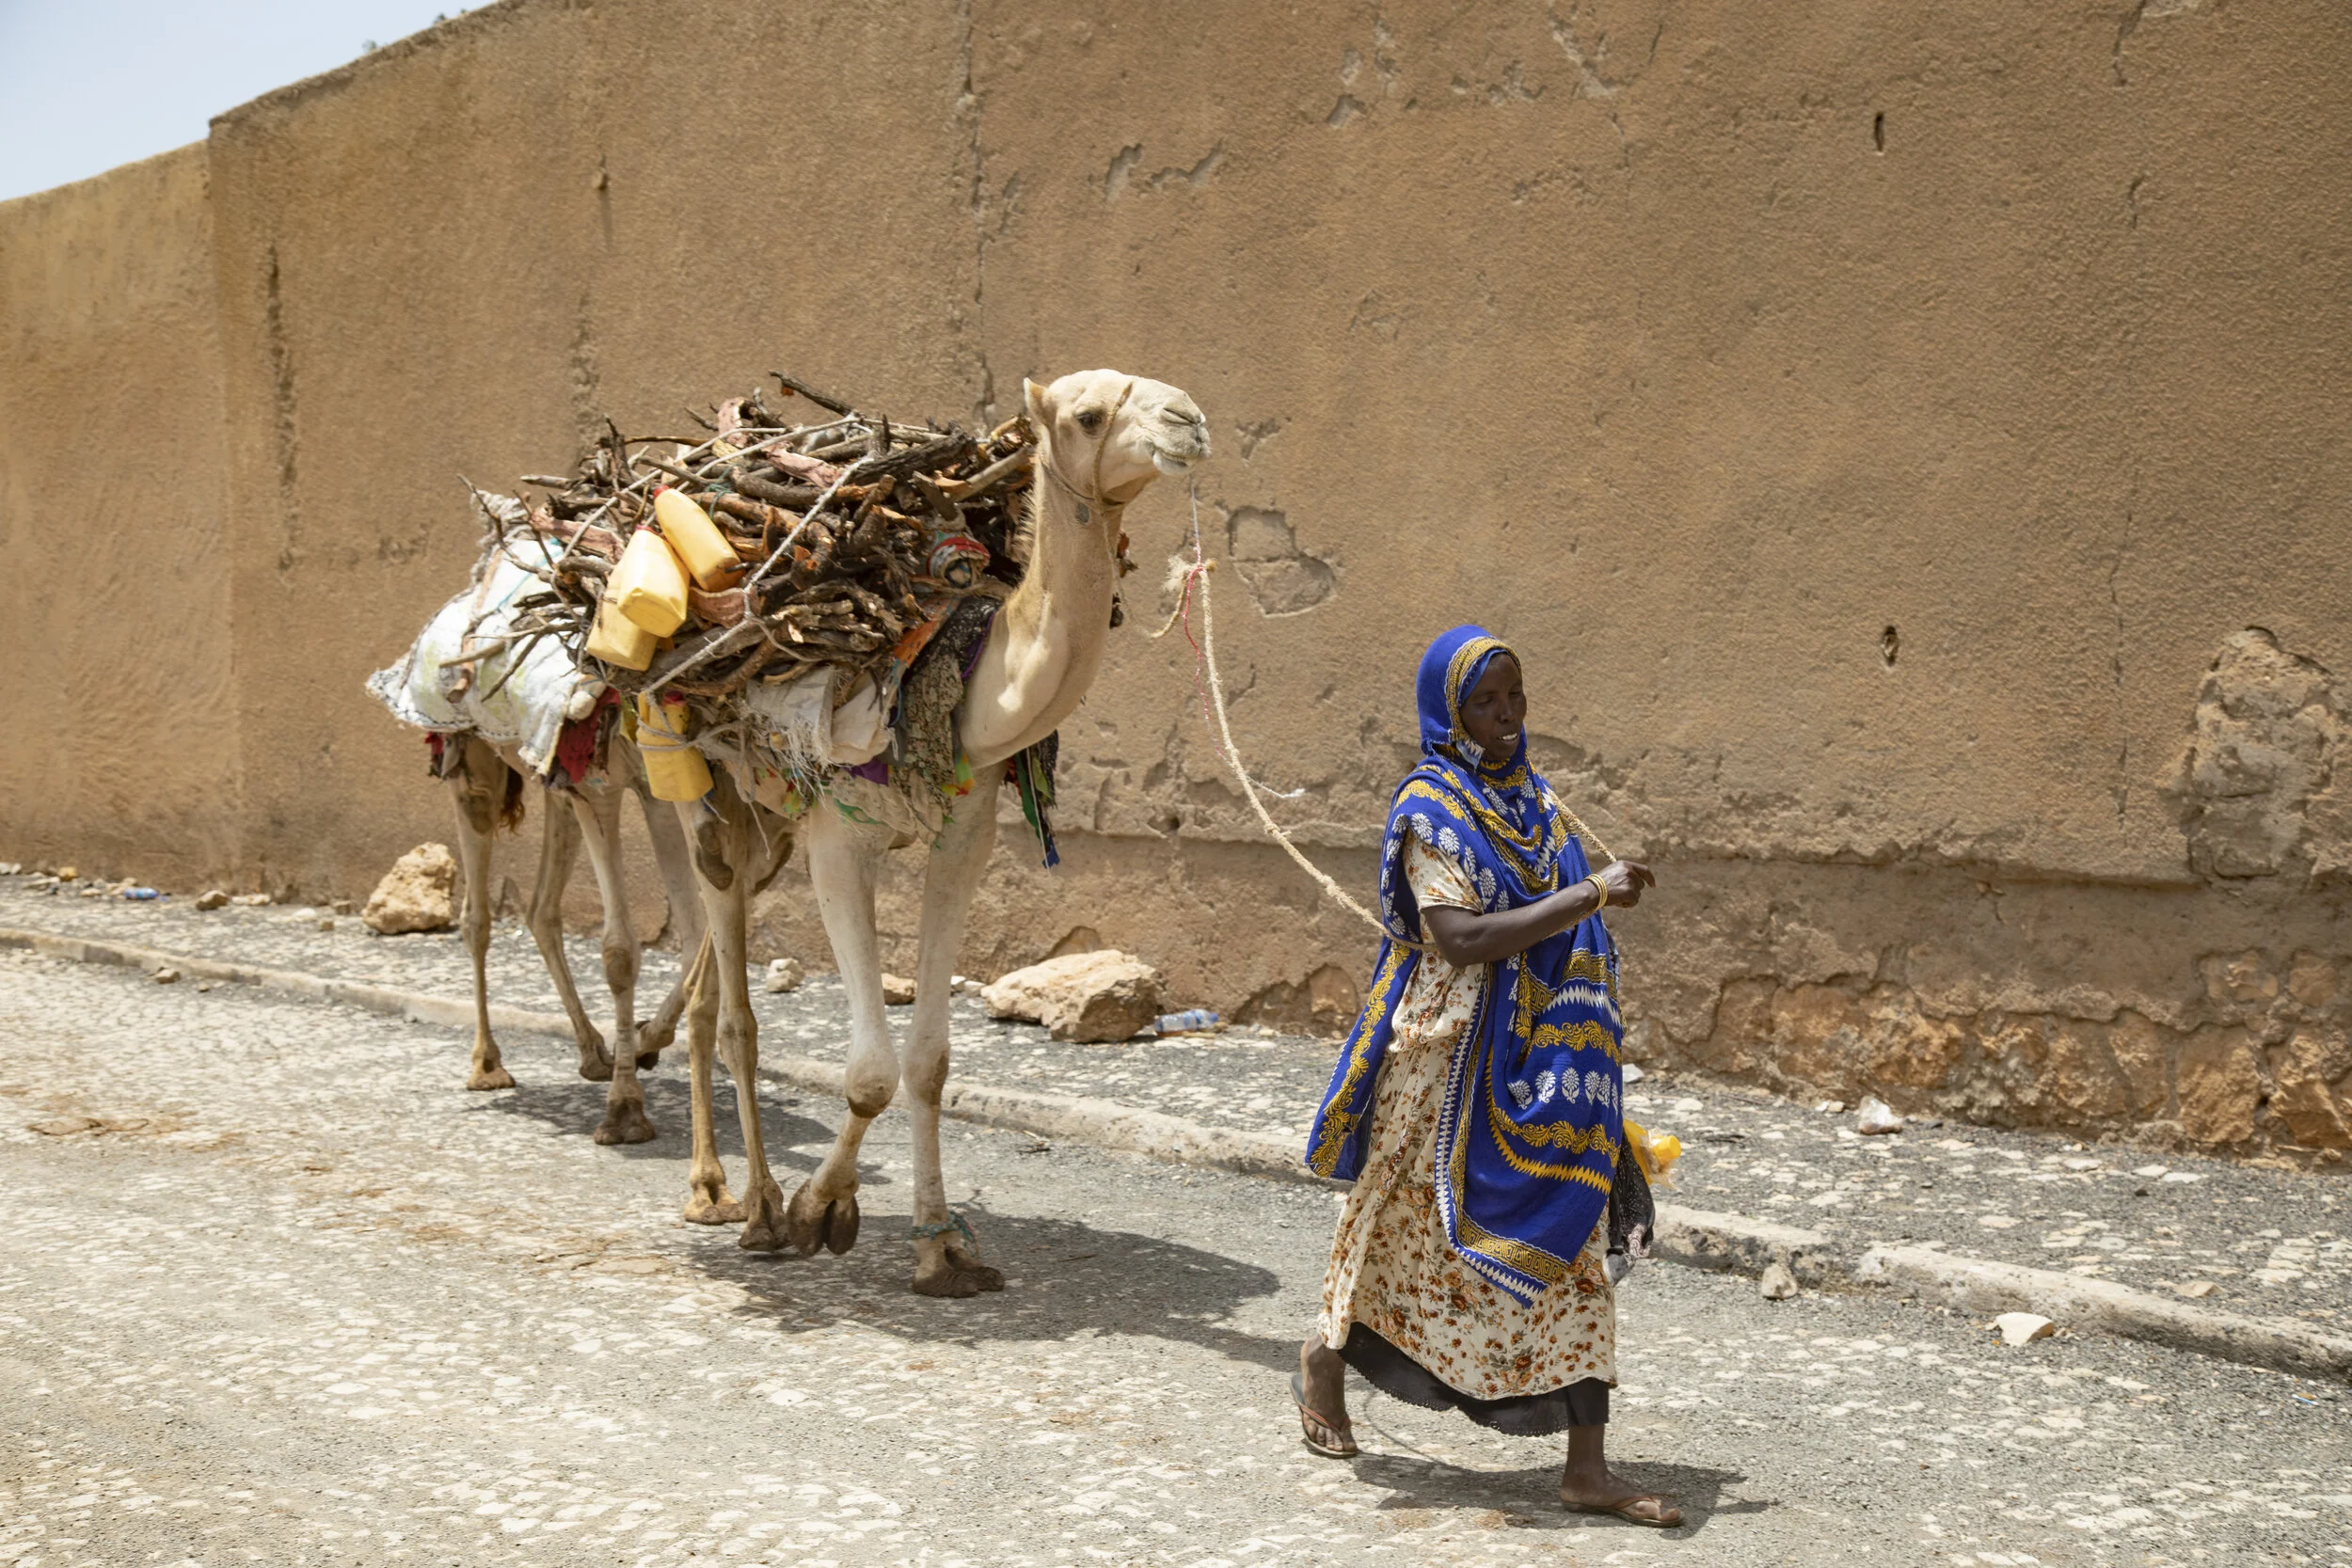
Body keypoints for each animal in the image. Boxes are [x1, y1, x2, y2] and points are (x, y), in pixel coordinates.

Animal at [673, 368, 1208, 1295]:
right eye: (1088, 415)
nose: (1191, 419)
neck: (957, 675)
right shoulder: (837, 838)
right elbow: (869, 1072)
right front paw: (819, 1210)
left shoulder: (964, 836)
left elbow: (928, 1063)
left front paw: (941, 1249)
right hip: (679, 770)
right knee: (733, 999)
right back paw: (752, 1207)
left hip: (762, 814)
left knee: (716, 966)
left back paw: (717, 1186)